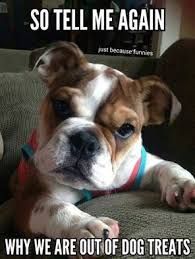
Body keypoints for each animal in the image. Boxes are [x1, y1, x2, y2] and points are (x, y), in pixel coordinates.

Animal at [12, 42, 195, 256]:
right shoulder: (29, 201)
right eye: (61, 105)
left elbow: (168, 166)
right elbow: (55, 208)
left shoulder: (142, 166)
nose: (84, 141)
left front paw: (184, 185)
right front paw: (84, 225)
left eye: (126, 129)